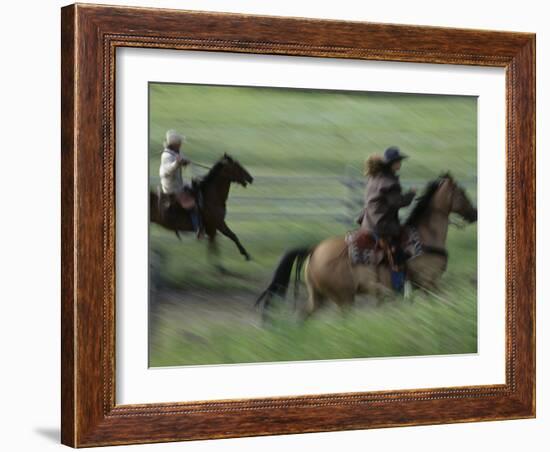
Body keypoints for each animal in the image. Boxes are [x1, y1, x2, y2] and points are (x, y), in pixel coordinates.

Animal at [258, 171, 478, 320]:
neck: (425, 237)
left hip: (318, 297)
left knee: (303, 317)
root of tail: (314, 250)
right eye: (462, 193)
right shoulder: (430, 283)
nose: (474, 213)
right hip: (344, 299)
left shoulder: (422, 286)